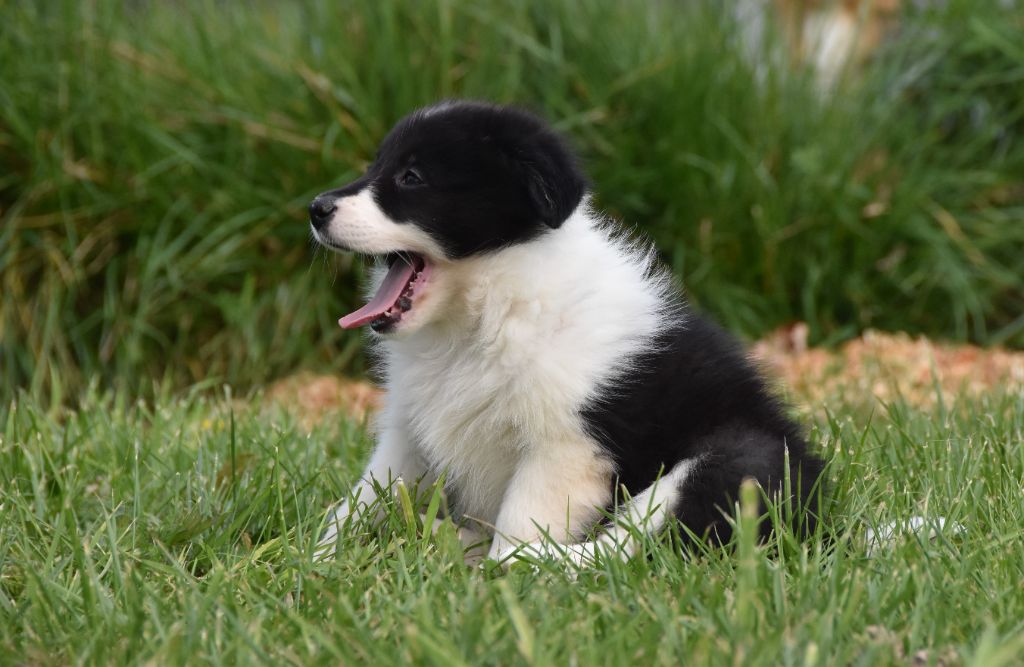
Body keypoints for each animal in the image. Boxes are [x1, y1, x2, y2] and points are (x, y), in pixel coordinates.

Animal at [305, 101, 823, 565]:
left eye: (412, 177)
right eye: (376, 165)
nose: (315, 207)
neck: (486, 314)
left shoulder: (566, 448)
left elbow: (520, 523)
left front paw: (502, 579)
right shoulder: (408, 429)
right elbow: (364, 497)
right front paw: (314, 559)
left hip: (741, 458)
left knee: (623, 549)